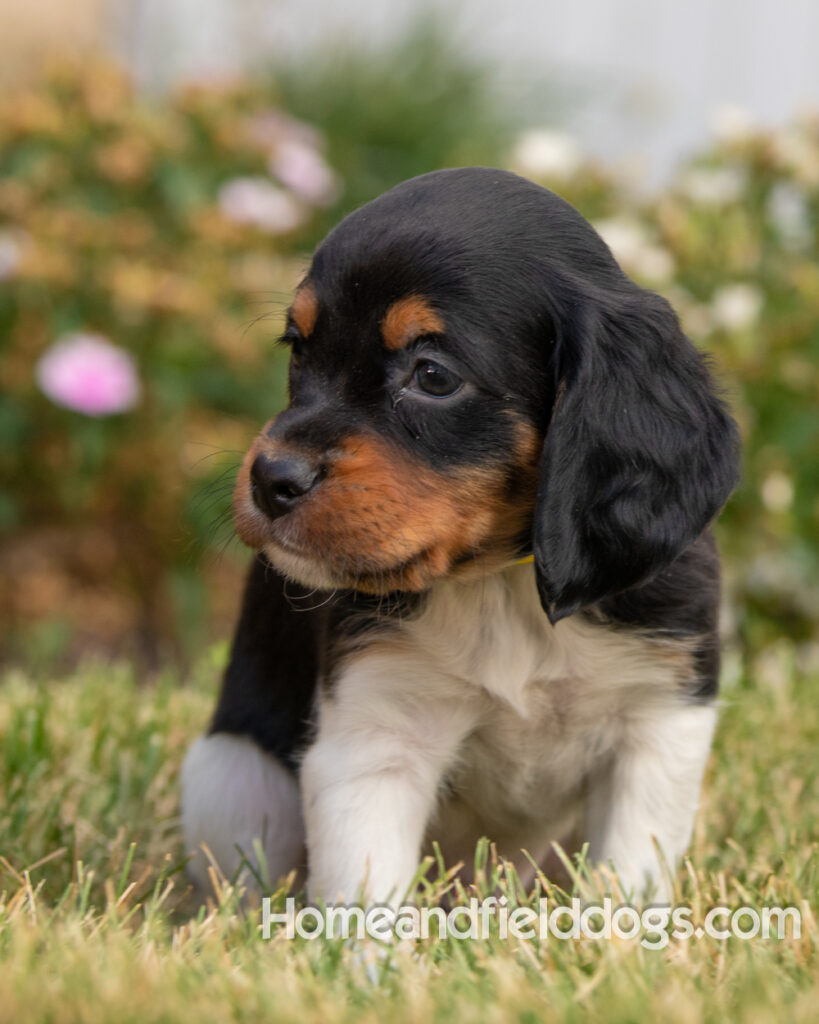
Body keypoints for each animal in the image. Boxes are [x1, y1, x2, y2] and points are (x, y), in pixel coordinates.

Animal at [181, 165, 741, 905]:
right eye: (299, 348)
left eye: (432, 375)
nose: (271, 479)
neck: (499, 582)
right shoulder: (375, 733)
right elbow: (365, 901)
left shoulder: (659, 723)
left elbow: (624, 884)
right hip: (230, 776)